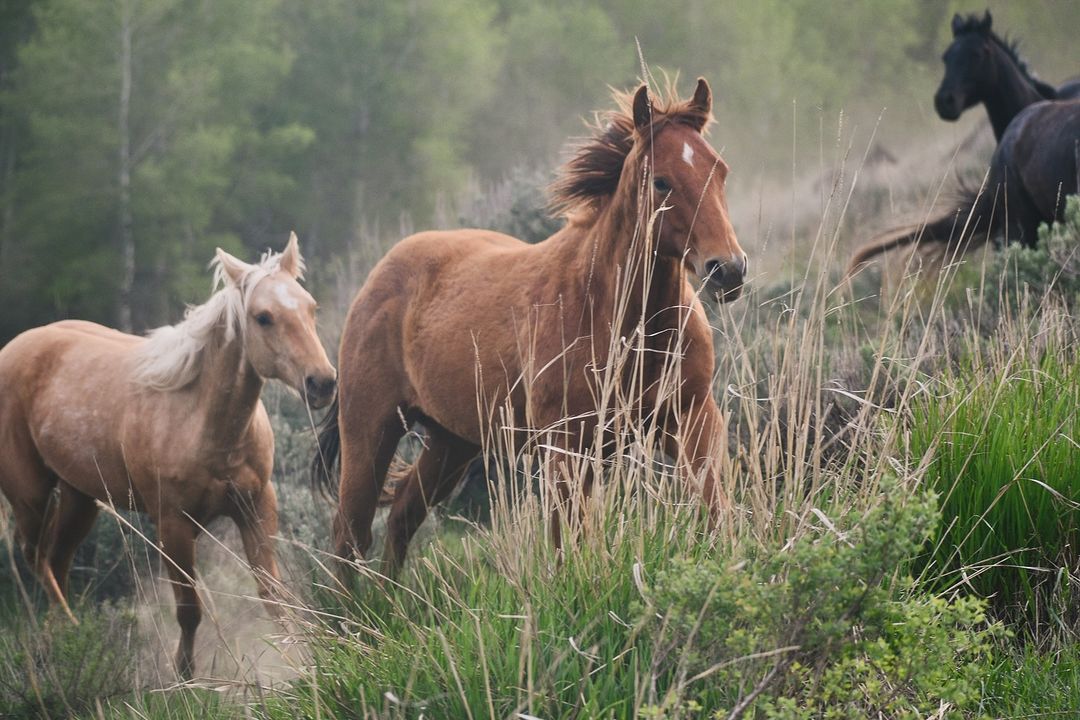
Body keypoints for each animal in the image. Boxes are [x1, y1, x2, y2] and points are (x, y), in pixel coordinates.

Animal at [0, 234, 336, 678]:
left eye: (311, 307)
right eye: (263, 317)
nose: (322, 383)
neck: (203, 425)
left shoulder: (257, 507)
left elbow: (274, 597)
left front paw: (299, 665)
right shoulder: (173, 525)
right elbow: (189, 609)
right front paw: (185, 676)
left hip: (79, 498)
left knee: (55, 561)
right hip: (31, 497)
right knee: (37, 559)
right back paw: (67, 637)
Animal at [312, 78, 746, 576]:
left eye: (720, 170)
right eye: (661, 180)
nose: (728, 270)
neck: (622, 323)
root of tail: (375, 278)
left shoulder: (691, 419)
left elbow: (715, 509)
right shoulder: (566, 448)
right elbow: (567, 543)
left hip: (451, 442)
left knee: (402, 515)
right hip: (370, 429)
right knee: (350, 535)